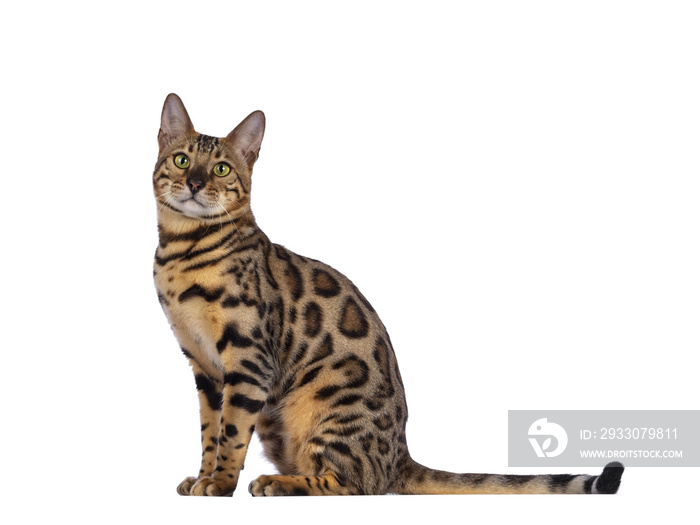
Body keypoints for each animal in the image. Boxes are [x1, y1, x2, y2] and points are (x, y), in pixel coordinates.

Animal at [152, 94, 624, 496]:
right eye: (181, 160)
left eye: (222, 169)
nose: (195, 183)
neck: (182, 253)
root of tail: (401, 453)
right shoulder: (204, 366)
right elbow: (209, 432)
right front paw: (200, 477)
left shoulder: (248, 358)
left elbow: (231, 432)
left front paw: (219, 482)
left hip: (324, 405)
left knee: (356, 482)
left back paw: (279, 483)